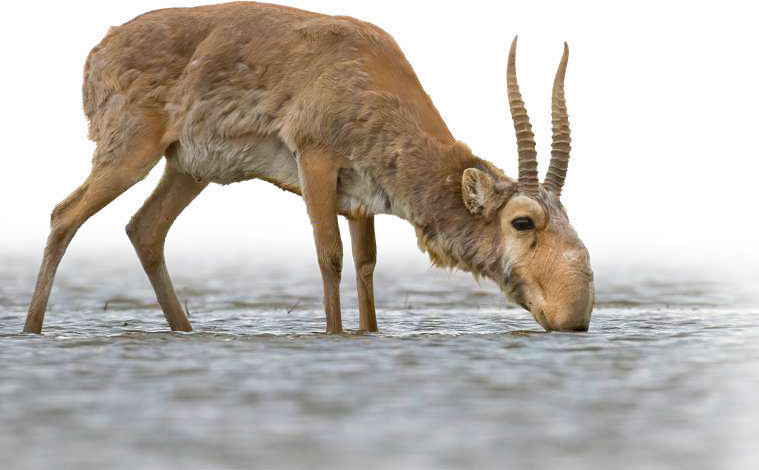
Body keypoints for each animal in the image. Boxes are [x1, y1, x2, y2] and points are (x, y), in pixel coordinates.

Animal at [23, 2, 594, 335]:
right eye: (522, 221)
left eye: (568, 218)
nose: (576, 314)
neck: (371, 79)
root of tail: (99, 50)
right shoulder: (315, 161)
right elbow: (330, 255)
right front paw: (334, 336)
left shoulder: (362, 199)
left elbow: (366, 265)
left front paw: (368, 333)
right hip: (129, 151)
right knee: (63, 215)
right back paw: (31, 330)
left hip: (188, 168)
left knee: (144, 229)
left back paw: (185, 331)